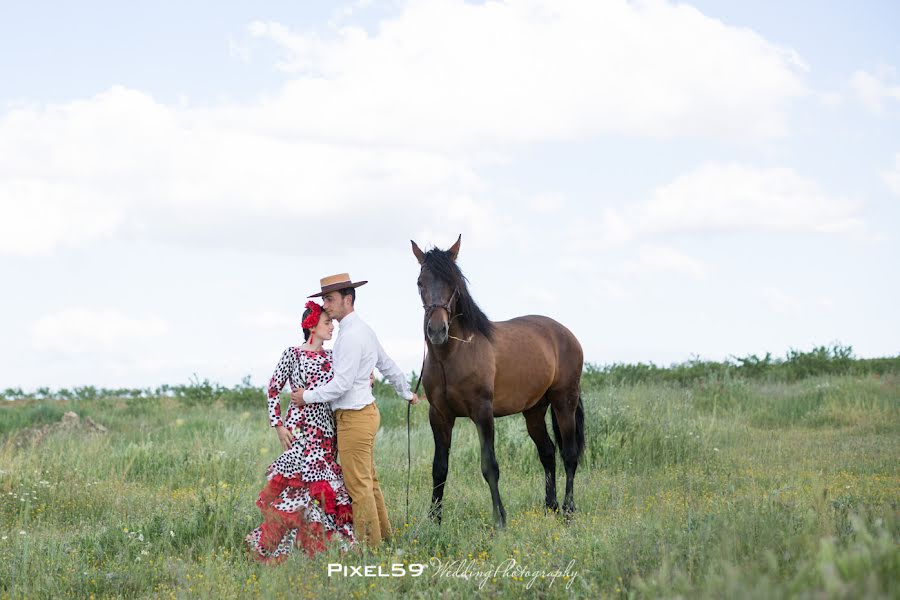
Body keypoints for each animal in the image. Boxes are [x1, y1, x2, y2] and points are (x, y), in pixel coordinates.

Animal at [412, 237, 588, 528]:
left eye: (454, 283)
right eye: (420, 282)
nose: (437, 331)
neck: (453, 356)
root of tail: (565, 334)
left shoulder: (483, 413)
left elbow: (490, 467)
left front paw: (500, 520)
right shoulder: (439, 415)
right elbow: (439, 468)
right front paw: (434, 520)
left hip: (564, 402)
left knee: (569, 455)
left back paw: (568, 511)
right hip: (534, 410)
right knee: (547, 453)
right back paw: (550, 508)